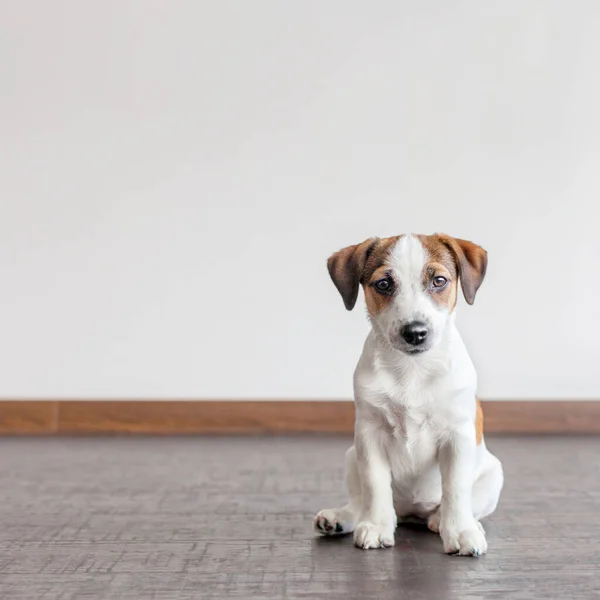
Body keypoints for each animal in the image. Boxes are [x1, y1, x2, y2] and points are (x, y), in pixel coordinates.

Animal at [316, 232, 504, 556]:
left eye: (439, 281)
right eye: (383, 284)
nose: (415, 332)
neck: (412, 370)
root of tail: (413, 512)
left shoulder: (457, 436)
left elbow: (456, 487)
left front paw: (461, 531)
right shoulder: (370, 434)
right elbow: (375, 485)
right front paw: (376, 527)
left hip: (493, 476)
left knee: (464, 503)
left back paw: (447, 521)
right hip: (353, 456)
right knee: (361, 501)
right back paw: (343, 517)